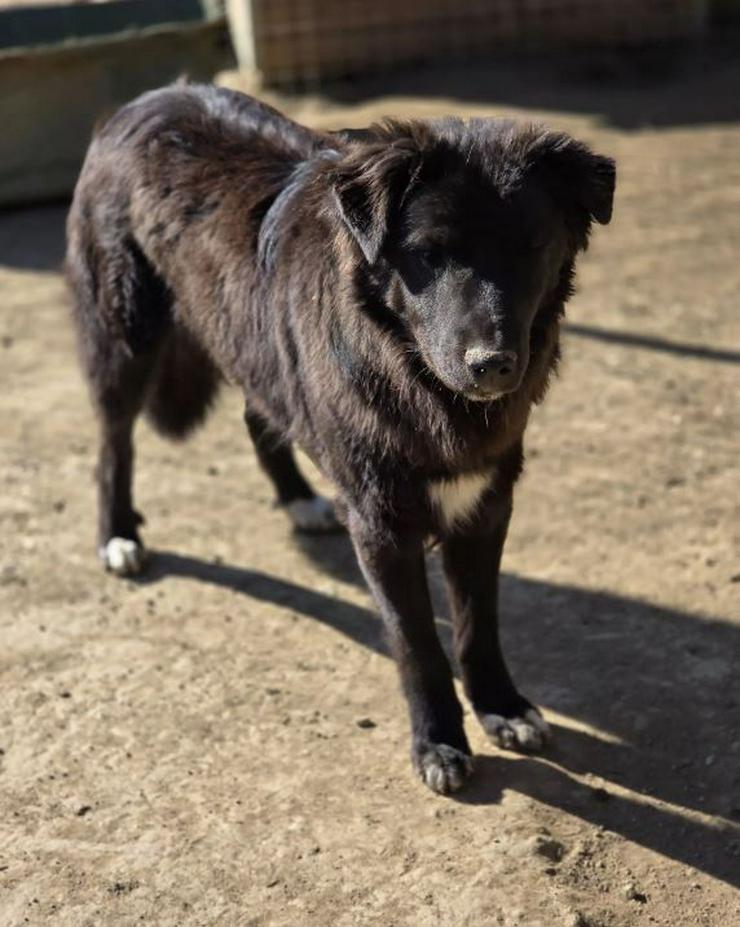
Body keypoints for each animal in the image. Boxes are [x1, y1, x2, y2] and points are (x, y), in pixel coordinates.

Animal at [68, 85, 612, 792]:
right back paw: (117, 536)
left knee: (258, 414)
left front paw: (501, 707)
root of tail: (148, 98)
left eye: (531, 247)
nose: (493, 365)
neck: (407, 368)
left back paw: (298, 499)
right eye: (430, 254)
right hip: (125, 337)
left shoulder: (485, 506)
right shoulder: (381, 527)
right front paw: (438, 743)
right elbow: (419, 644)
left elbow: (477, 625)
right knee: (114, 443)